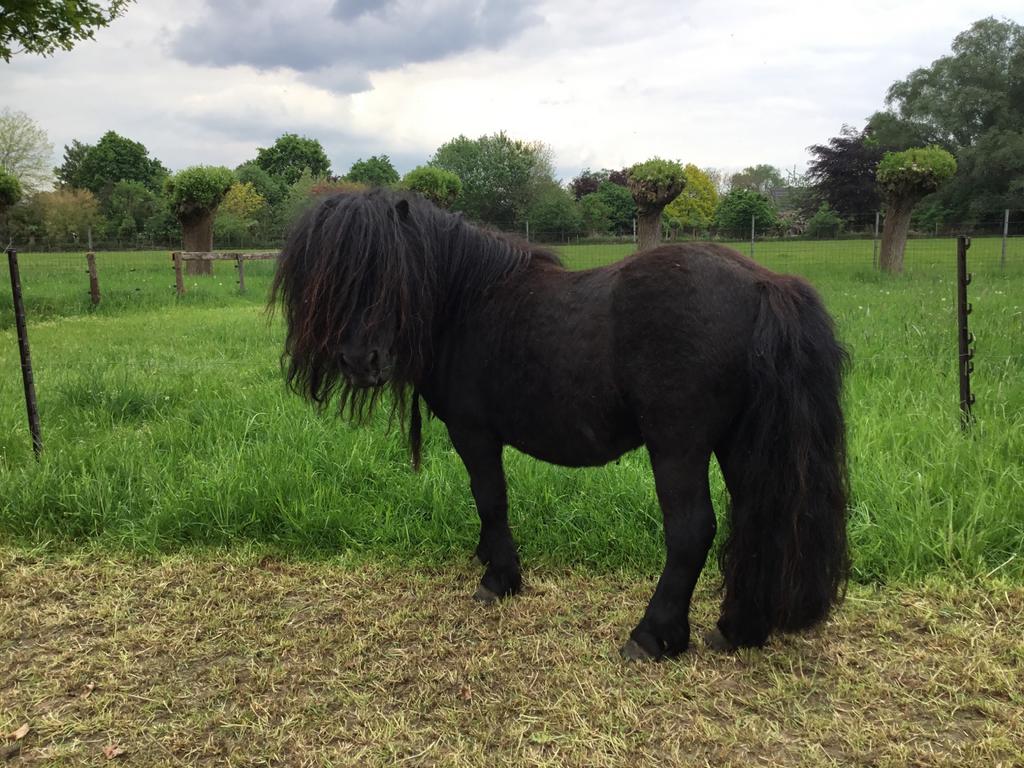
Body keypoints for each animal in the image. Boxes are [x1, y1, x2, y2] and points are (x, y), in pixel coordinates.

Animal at [270, 189, 849, 660]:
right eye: (331, 275)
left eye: (394, 270)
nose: (360, 361)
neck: (467, 299)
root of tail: (763, 282)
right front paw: (488, 556)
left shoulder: (474, 433)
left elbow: (490, 499)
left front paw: (500, 577)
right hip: (737, 444)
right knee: (758, 520)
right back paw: (738, 628)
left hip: (677, 446)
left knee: (692, 530)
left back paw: (652, 636)